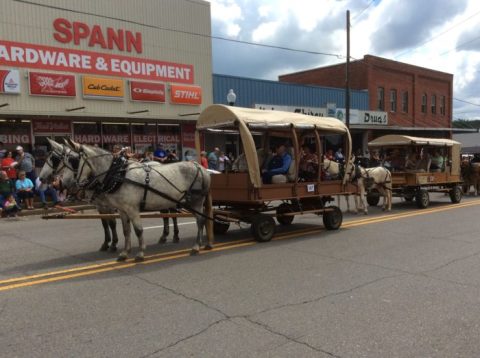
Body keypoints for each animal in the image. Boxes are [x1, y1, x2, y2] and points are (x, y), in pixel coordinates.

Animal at [73, 141, 212, 262]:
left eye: (76, 161)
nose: (76, 184)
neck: (120, 175)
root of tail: (200, 167)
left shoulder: (132, 209)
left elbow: (138, 230)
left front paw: (140, 253)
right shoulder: (122, 210)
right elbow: (126, 231)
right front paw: (124, 253)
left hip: (196, 201)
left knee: (200, 220)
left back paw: (196, 246)